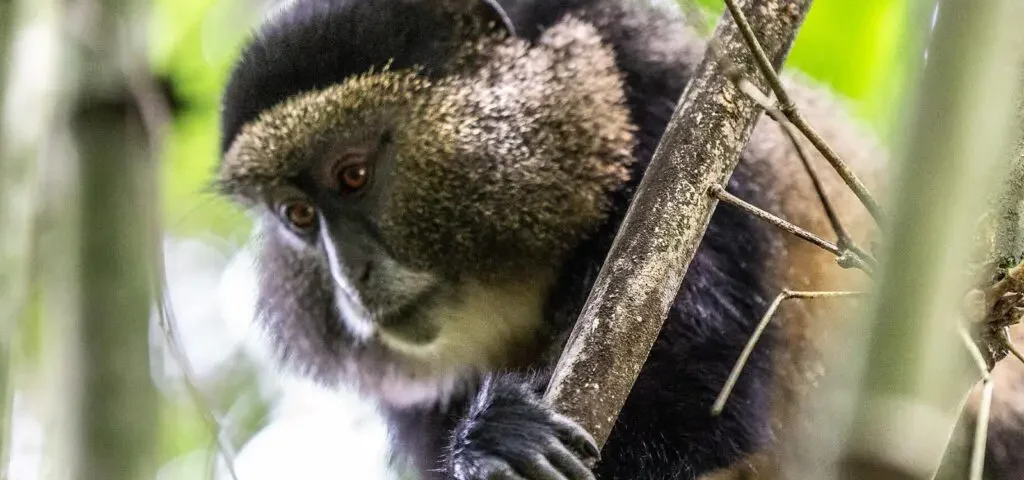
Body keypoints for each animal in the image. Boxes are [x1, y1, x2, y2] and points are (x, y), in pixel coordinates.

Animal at [213, 0, 1024, 478]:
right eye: (297, 216)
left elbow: (696, 411)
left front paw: (496, 445)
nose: (349, 275)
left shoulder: (681, 163)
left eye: (351, 176)